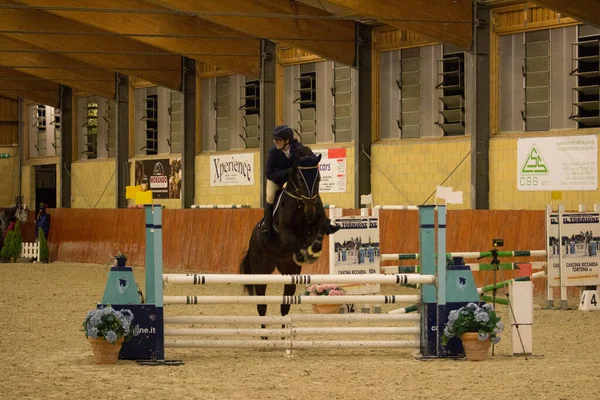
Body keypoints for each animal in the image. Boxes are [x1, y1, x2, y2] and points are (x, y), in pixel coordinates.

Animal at [240, 145, 332, 330]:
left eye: (318, 178)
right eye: (300, 178)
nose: (310, 209)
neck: (300, 202)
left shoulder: (317, 221)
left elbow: (322, 226)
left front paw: (314, 251)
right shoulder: (284, 231)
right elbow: (293, 241)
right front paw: (304, 254)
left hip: (290, 271)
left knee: (285, 305)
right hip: (261, 271)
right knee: (262, 306)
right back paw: (265, 334)